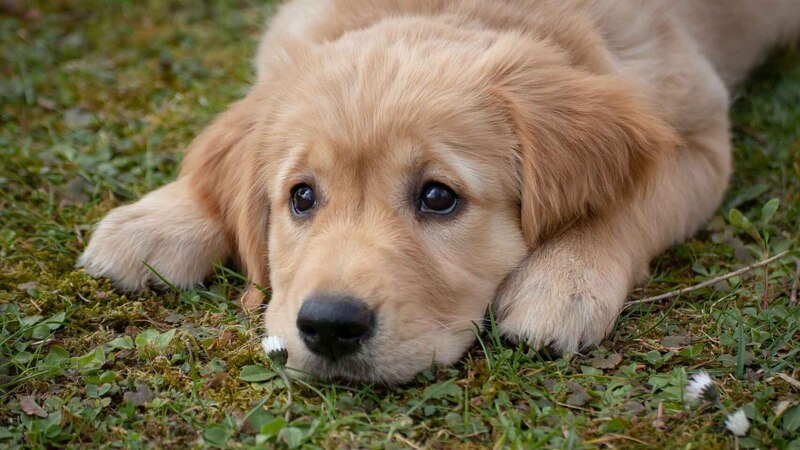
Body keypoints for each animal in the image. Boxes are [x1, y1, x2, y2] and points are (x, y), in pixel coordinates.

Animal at [79, 0, 800, 384]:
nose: (329, 326)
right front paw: (158, 221)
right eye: (301, 197)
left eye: (438, 198)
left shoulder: (699, 134)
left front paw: (563, 279)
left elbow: (629, 202)